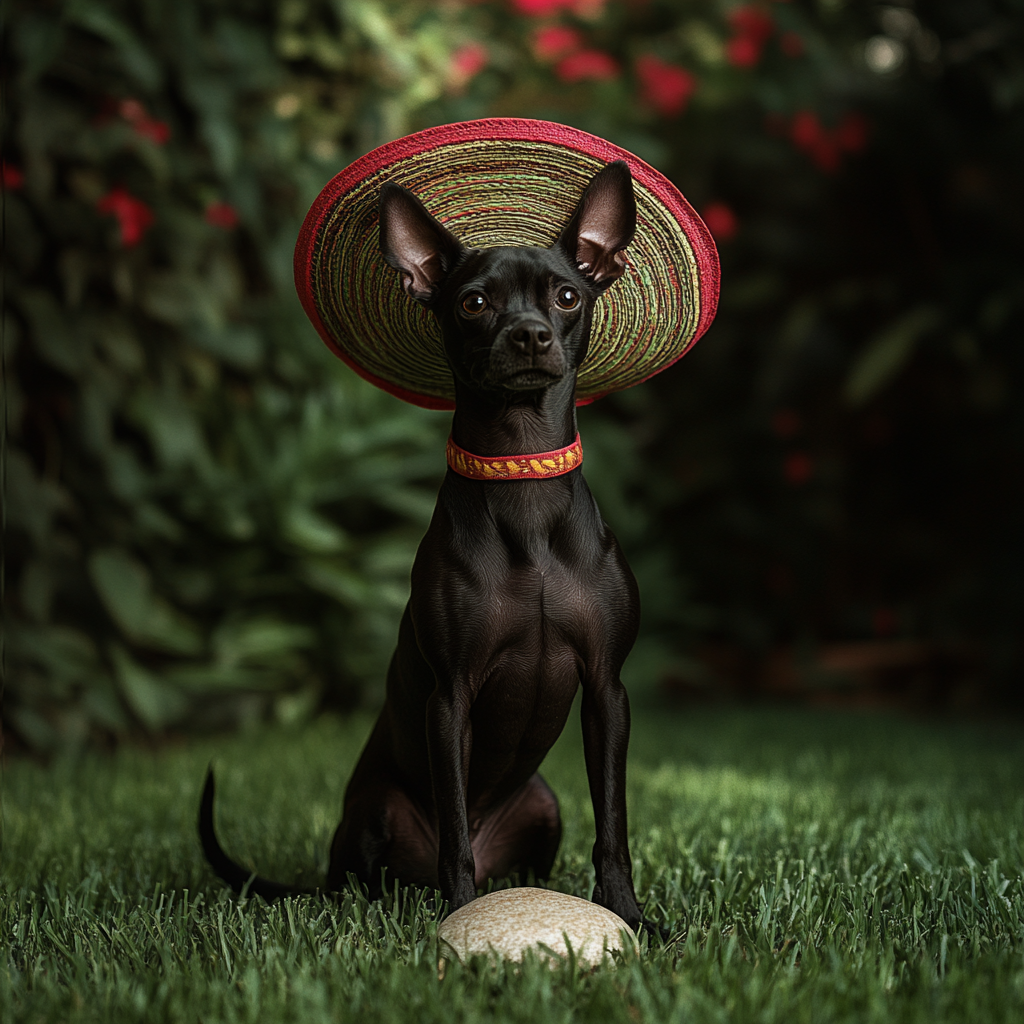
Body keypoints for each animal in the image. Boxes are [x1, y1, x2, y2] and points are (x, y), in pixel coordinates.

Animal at [200, 159, 647, 937]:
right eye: (473, 302)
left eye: (566, 295)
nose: (529, 335)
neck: (521, 478)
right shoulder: (451, 697)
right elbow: (454, 826)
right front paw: (461, 916)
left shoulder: (605, 690)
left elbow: (613, 825)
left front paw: (629, 914)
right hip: (377, 813)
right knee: (376, 874)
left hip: (542, 802)